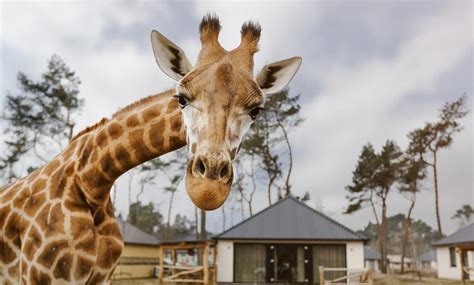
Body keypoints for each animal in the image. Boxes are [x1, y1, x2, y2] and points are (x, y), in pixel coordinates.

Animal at [0, 15, 302, 282]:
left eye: (256, 110)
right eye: (181, 98)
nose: (207, 190)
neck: (92, 182)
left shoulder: (101, 276)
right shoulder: (40, 275)